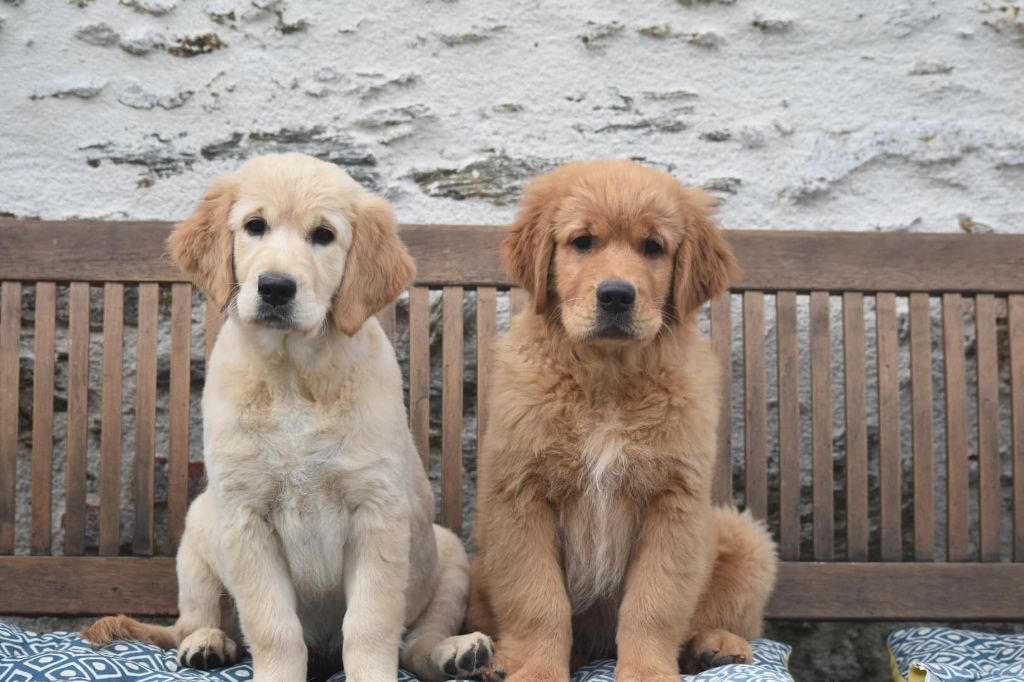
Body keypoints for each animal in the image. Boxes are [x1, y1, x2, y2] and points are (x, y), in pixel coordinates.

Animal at [82, 153, 491, 679]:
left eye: (324, 235)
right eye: (255, 226)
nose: (276, 287)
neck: (294, 377)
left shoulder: (376, 510)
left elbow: (371, 624)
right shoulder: (244, 516)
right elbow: (272, 627)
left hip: (450, 554)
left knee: (417, 642)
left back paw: (459, 652)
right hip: (198, 532)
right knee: (196, 620)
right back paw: (207, 642)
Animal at [468, 160, 774, 679]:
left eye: (653, 247)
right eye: (582, 242)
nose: (615, 295)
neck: (607, 380)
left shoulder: (674, 501)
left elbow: (654, 603)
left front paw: (647, 671)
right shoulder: (521, 495)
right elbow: (538, 600)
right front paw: (538, 669)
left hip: (746, 539)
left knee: (720, 615)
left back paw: (715, 644)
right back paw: (504, 659)